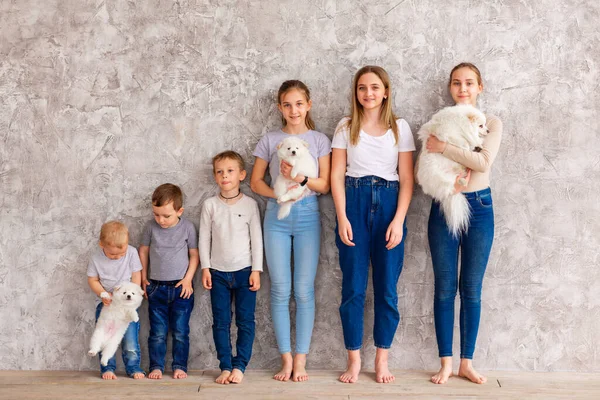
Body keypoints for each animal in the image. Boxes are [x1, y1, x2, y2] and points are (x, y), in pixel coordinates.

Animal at [418, 104, 488, 238]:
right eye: (481, 125)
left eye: (485, 125)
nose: (488, 131)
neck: (460, 121)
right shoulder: (447, 133)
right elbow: (462, 141)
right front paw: (470, 145)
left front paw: (477, 145)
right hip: (441, 179)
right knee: (449, 186)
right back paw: (461, 181)